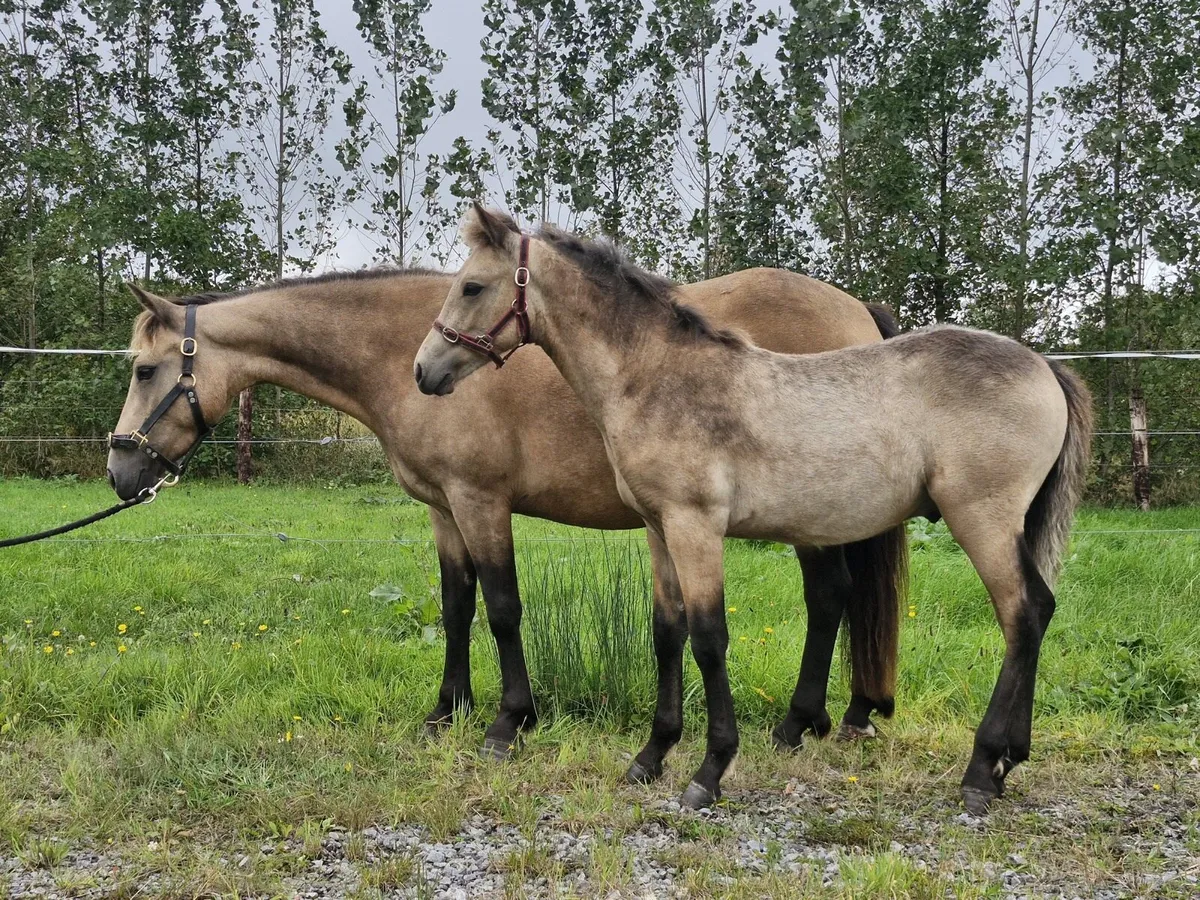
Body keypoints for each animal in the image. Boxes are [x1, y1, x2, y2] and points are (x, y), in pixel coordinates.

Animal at [106, 263, 907, 762]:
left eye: (144, 370)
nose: (121, 472)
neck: (404, 351)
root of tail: (858, 312)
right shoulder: (443, 508)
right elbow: (456, 605)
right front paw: (446, 712)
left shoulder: (481, 500)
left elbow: (501, 608)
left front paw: (508, 723)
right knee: (837, 599)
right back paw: (842, 716)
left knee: (830, 597)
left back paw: (801, 723)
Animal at [414, 204, 1093, 815]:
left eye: (471, 285)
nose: (424, 372)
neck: (658, 378)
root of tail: (1044, 365)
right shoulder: (659, 530)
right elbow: (668, 633)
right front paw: (650, 757)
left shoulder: (695, 526)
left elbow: (709, 638)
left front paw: (709, 772)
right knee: (1038, 611)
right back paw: (1007, 760)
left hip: (981, 519)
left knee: (1022, 614)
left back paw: (980, 772)